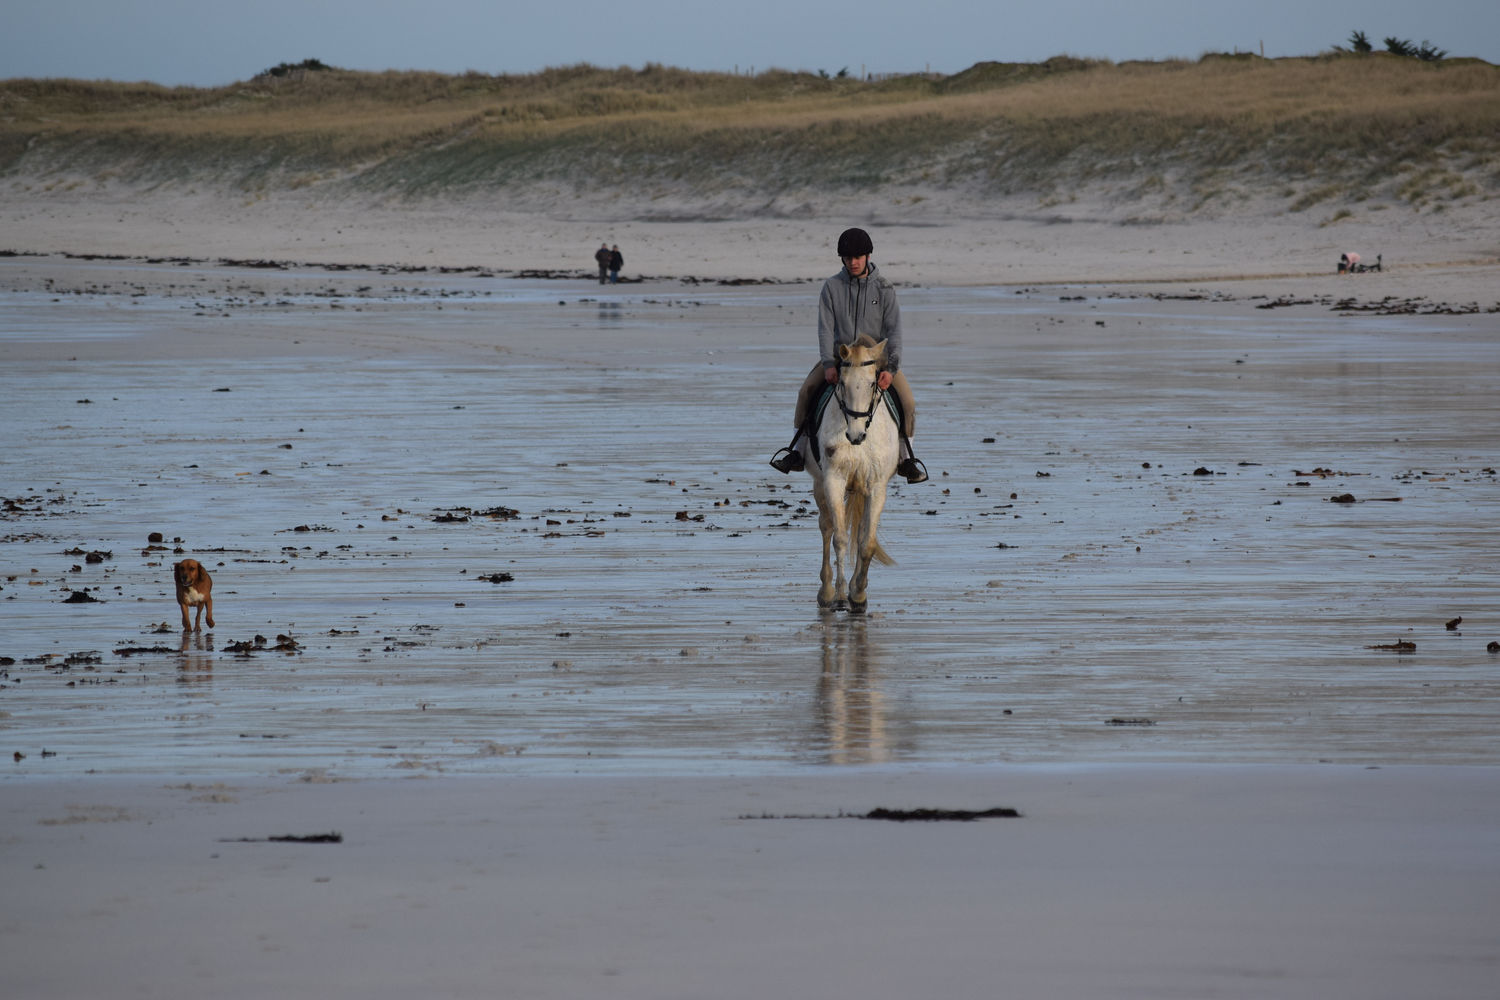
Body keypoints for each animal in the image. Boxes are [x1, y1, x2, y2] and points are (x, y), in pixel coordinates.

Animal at [804, 335, 894, 614]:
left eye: (873, 382)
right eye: (842, 383)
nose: (855, 435)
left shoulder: (877, 487)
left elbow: (867, 543)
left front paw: (859, 594)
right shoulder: (833, 481)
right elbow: (841, 539)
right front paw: (841, 595)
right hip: (820, 485)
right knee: (826, 527)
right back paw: (827, 592)